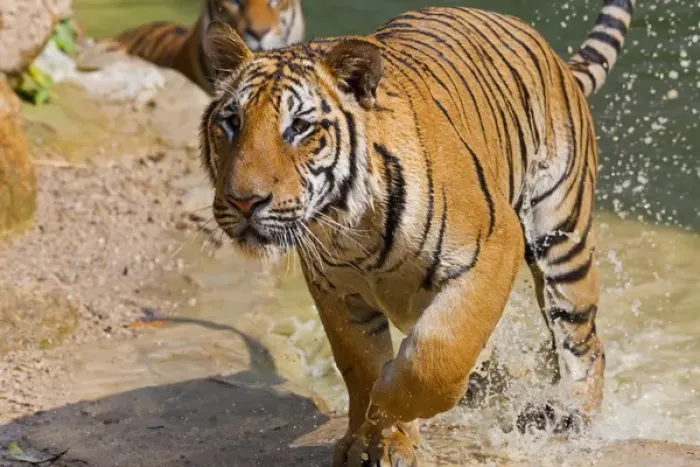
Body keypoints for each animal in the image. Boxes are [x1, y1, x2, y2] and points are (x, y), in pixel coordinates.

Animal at [198, 0, 635, 465]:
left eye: (299, 127)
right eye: (231, 122)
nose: (245, 202)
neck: (350, 224)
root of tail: (556, 59)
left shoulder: (495, 244)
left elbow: (436, 356)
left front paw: (388, 401)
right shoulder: (335, 290)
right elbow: (361, 366)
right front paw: (371, 439)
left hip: (560, 234)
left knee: (583, 338)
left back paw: (569, 411)